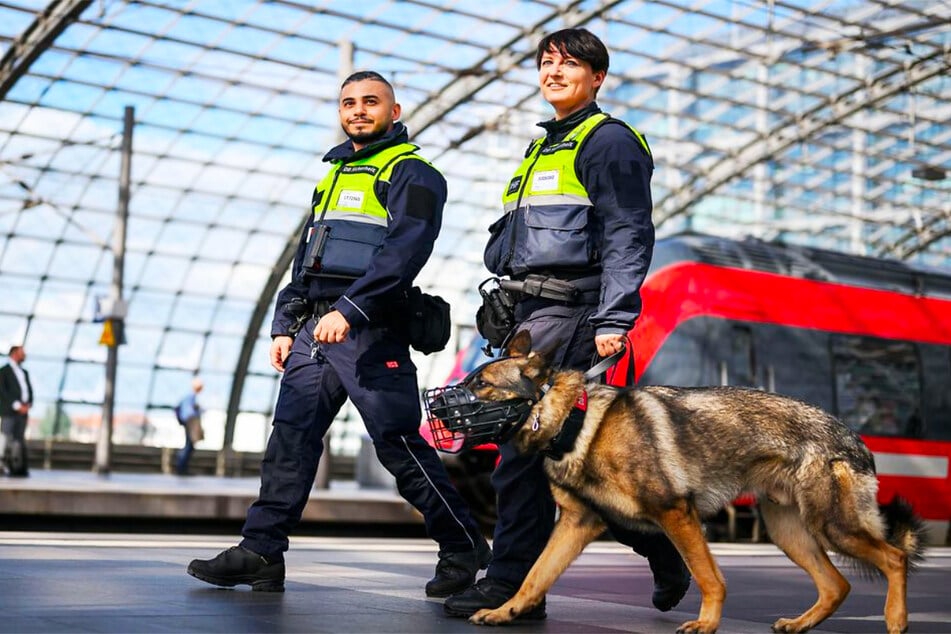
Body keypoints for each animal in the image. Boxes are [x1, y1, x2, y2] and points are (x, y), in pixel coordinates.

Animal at [464, 328, 924, 628]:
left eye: (482, 384)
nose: (445, 412)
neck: (575, 422)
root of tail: (854, 439)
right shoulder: (578, 525)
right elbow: (534, 576)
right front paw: (504, 611)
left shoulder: (677, 514)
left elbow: (708, 577)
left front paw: (706, 623)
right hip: (790, 532)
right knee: (836, 585)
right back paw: (800, 623)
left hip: (833, 527)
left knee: (894, 558)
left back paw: (896, 620)